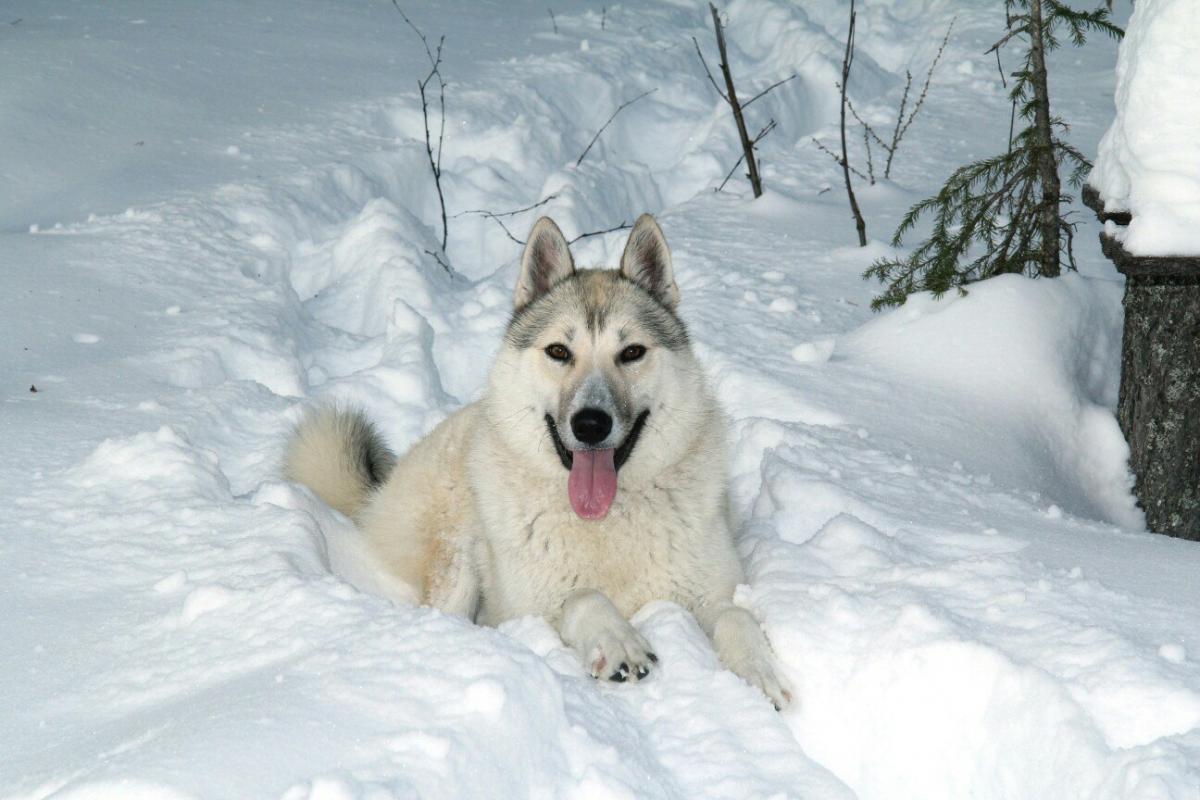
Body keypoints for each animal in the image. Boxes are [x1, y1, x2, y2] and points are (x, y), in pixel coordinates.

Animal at [285, 212, 792, 705]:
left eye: (631, 352)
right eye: (559, 352)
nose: (591, 424)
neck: (607, 520)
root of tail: (384, 488)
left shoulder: (713, 594)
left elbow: (737, 618)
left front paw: (760, 675)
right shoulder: (522, 610)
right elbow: (583, 598)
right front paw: (620, 643)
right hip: (457, 558)